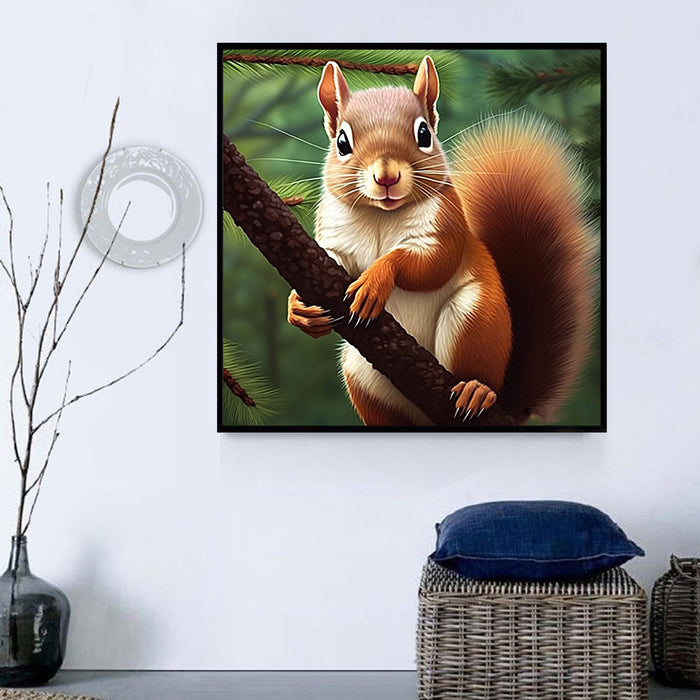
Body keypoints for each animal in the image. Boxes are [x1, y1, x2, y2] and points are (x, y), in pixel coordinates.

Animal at [287, 56, 594, 426]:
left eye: (424, 134)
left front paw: (375, 281)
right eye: (342, 142)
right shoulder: (335, 240)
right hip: (359, 373)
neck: (381, 216)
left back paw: (477, 390)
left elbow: (433, 264)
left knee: (477, 369)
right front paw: (299, 308)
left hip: (474, 319)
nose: (386, 177)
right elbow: (331, 262)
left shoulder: (446, 225)